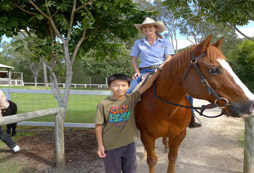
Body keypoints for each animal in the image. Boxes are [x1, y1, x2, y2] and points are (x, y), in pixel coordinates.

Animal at [135, 35, 254, 173]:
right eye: (213, 70)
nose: (251, 103)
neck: (165, 109)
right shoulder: (147, 136)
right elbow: (152, 160)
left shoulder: (179, 135)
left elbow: (172, 157)